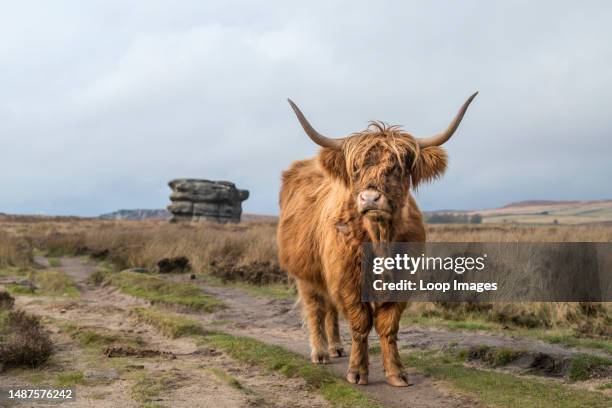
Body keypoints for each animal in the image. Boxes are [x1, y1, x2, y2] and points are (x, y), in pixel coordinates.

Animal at [278, 94, 478, 388]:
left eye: (396, 168)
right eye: (356, 168)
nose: (370, 199)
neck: (379, 237)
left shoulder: (403, 279)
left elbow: (387, 324)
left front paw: (396, 373)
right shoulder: (347, 278)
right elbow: (361, 322)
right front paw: (357, 372)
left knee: (330, 310)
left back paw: (336, 347)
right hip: (306, 273)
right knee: (316, 308)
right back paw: (321, 352)